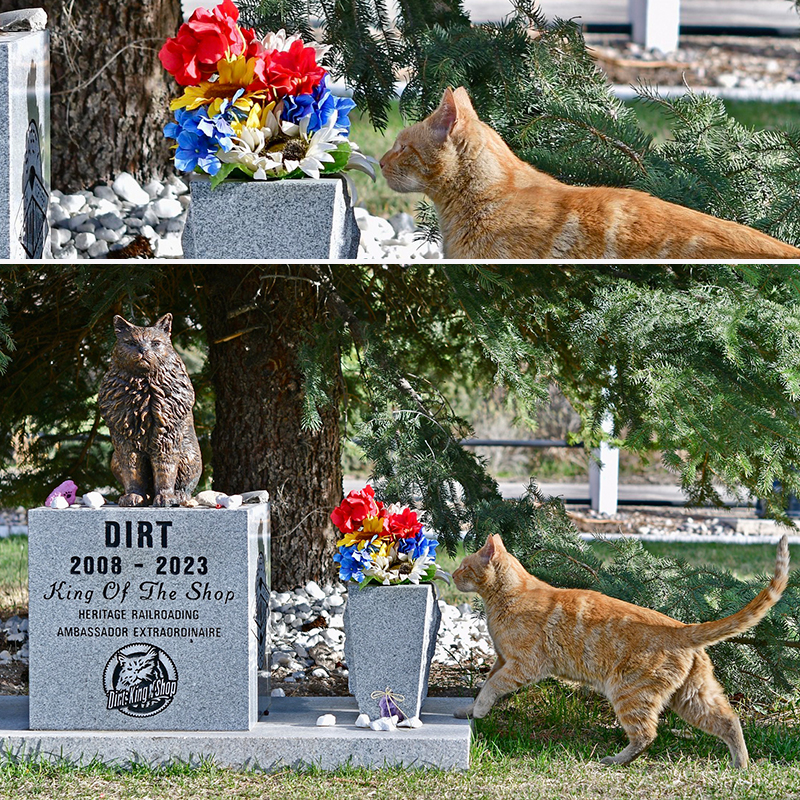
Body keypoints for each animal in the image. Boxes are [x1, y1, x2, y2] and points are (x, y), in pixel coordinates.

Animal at [454, 536, 792, 764]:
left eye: (464, 566)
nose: (454, 574)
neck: (510, 596)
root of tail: (681, 627)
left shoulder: (522, 665)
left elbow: (492, 687)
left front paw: (479, 711)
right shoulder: (502, 660)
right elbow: (486, 684)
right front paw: (469, 711)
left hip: (628, 692)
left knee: (646, 734)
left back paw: (615, 760)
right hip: (693, 698)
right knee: (729, 721)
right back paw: (741, 764)